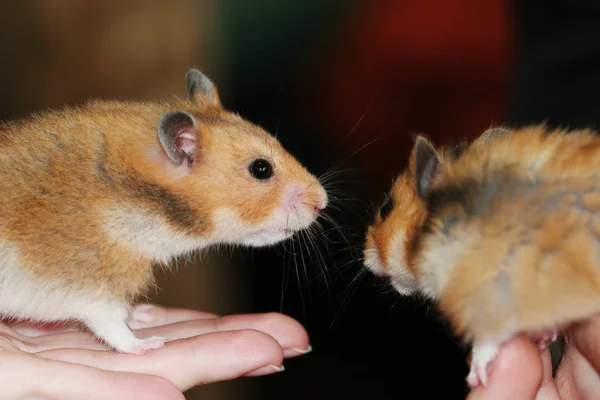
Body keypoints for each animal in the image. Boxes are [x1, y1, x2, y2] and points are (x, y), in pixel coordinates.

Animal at [0, 68, 328, 354]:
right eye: (261, 169)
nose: (322, 202)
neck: (134, 198)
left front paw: (142, 314)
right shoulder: (95, 284)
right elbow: (112, 326)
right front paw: (149, 344)